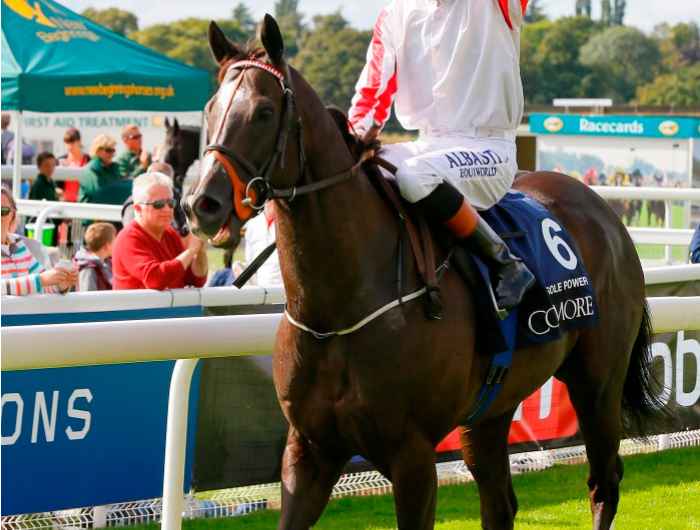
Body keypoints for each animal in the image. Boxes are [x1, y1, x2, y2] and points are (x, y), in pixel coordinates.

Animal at [183, 15, 660, 528]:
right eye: (210, 108)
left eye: (264, 111)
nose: (201, 203)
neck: (339, 308)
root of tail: (604, 211)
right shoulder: (308, 451)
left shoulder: (411, 456)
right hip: (491, 409)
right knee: (500, 501)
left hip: (598, 382)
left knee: (604, 482)